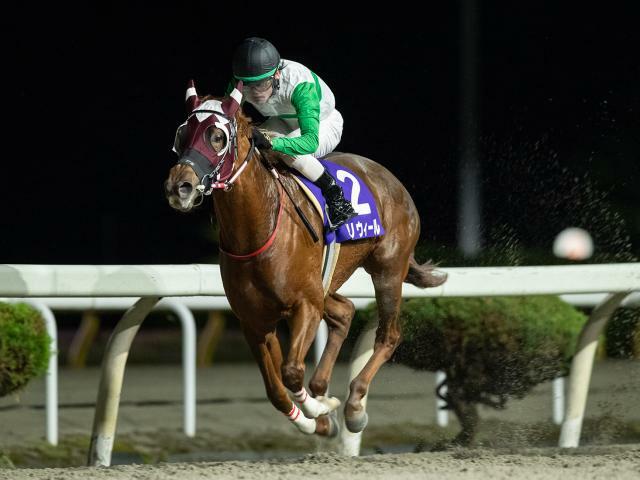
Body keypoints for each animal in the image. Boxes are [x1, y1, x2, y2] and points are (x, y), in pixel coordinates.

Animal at [164, 82, 444, 438]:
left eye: (218, 137)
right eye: (181, 134)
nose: (180, 186)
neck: (258, 230)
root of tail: (389, 179)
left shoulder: (305, 305)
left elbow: (291, 371)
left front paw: (320, 409)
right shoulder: (254, 319)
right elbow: (275, 388)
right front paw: (314, 419)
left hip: (388, 270)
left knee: (389, 334)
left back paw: (354, 405)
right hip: (328, 282)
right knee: (344, 312)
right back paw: (324, 391)